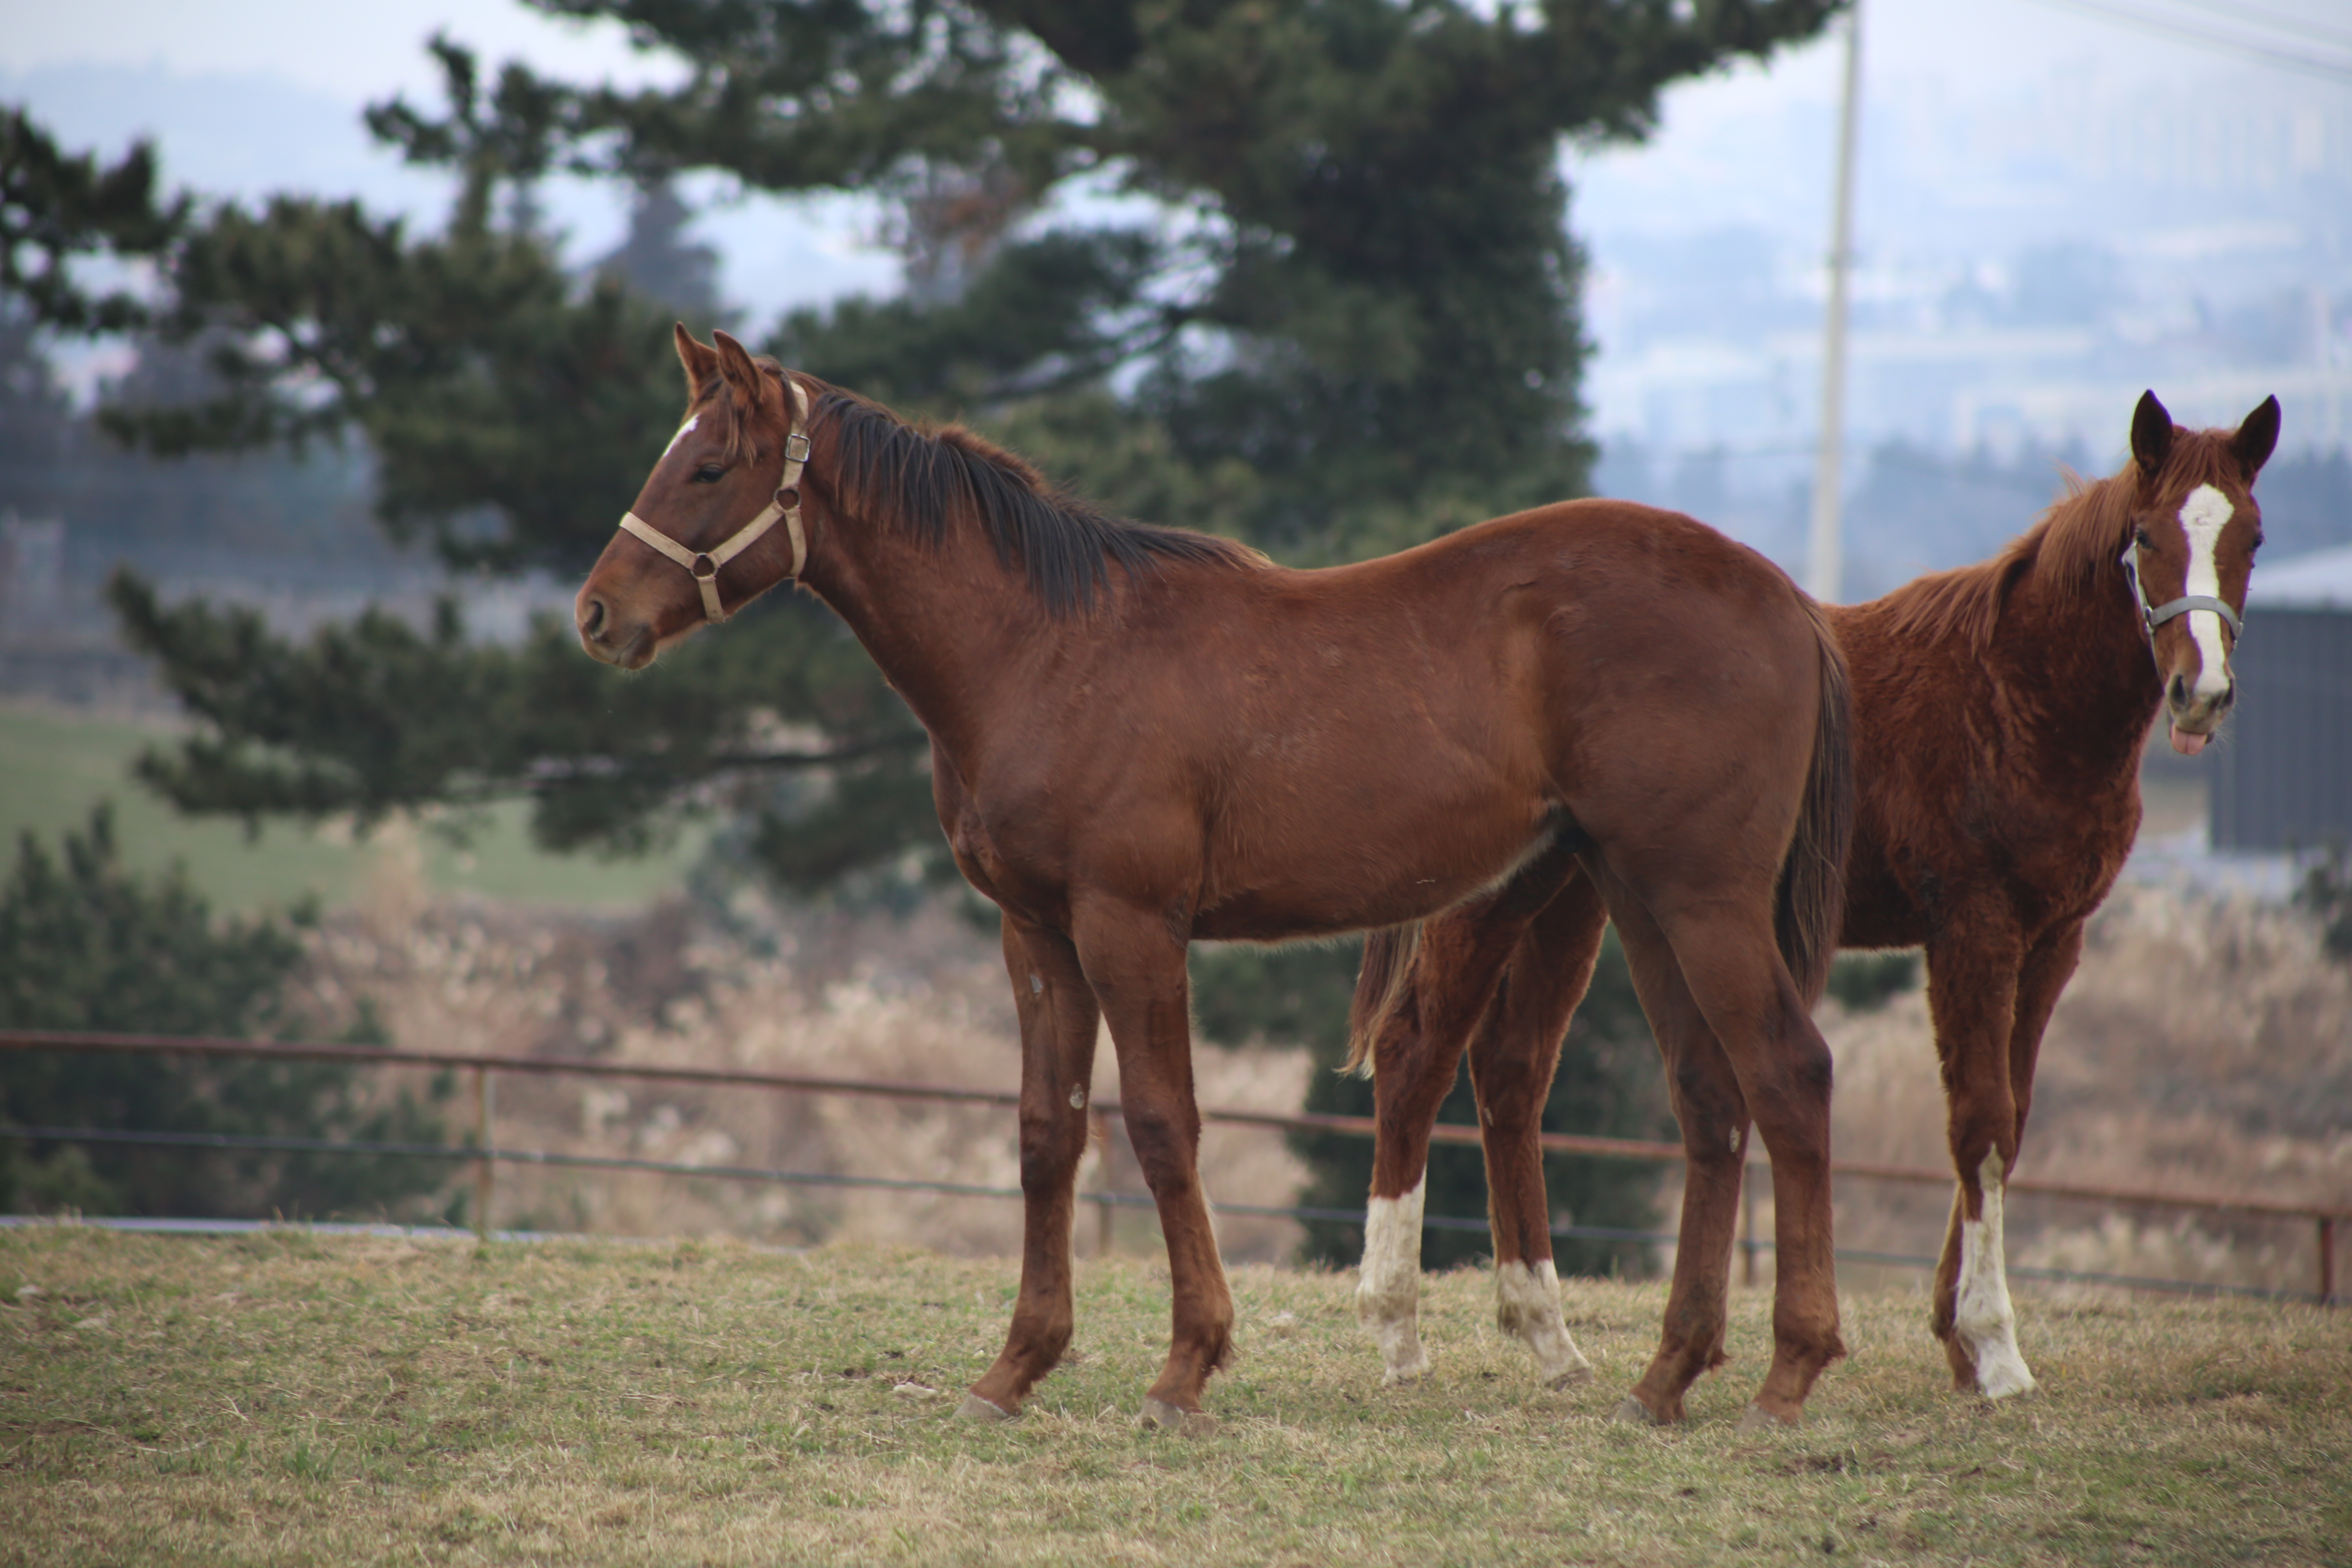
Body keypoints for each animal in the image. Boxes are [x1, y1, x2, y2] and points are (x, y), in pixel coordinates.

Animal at [574, 329, 1853, 1439]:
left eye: (708, 464)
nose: (596, 614)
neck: (1045, 650)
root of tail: (1788, 599)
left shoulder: (1130, 927)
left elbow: (1160, 1123)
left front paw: (1184, 1369)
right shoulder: (1035, 935)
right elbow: (1048, 1131)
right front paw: (1015, 1367)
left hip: (1699, 902)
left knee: (1788, 1078)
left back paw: (1788, 1376)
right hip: (1635, 901)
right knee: (1708, 1099)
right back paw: (1667, 1375)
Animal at [1354, 390, 2286, 1410]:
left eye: (2253, 537)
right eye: (2147, 537)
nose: (2201, 693)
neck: (2012, 695)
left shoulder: (2054, 940)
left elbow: (2009, 1121)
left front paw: (1960, 1340)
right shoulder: (1972, 929)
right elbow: (1979, 1123)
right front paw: (1992, 1347)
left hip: (1565, 901)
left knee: (1512, 1072)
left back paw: (1548, 1337)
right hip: (1488, 906)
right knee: (1416, 1057)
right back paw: (1396, 1333)